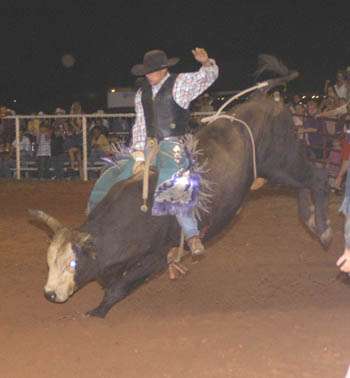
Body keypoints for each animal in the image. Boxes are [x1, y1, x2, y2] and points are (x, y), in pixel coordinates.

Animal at [29, 56, 330, 318]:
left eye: (71, 263)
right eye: (49, 260)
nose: (50, 294)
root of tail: (264, 98)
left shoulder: (156, 257)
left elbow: (120, 286)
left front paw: (98, 311)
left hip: (283, 160)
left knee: (318, 179)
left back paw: (324, 230)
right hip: (280, 170)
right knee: (305, 186)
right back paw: (311, 220)